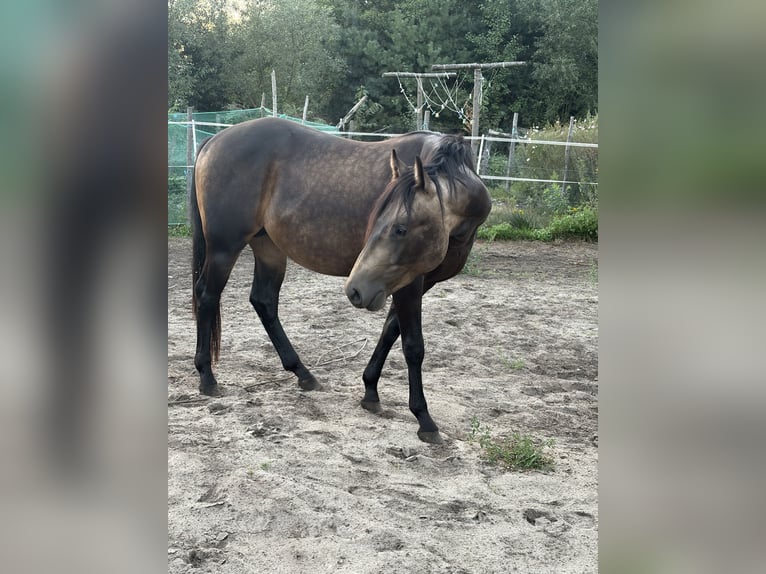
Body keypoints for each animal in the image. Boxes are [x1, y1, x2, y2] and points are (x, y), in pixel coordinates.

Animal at [190, 117, 491, 443]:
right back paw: (207, 377)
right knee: (207, 296)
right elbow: (413, 345)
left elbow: (390, 331)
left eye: (400, 228)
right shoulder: (410, 283)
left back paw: (303, 374)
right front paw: (424, 419)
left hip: (268, 247)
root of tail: (214, 139)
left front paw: (370, 391)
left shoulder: (410, 280)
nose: (355, 290)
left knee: (264, 301)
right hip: (224, 248)